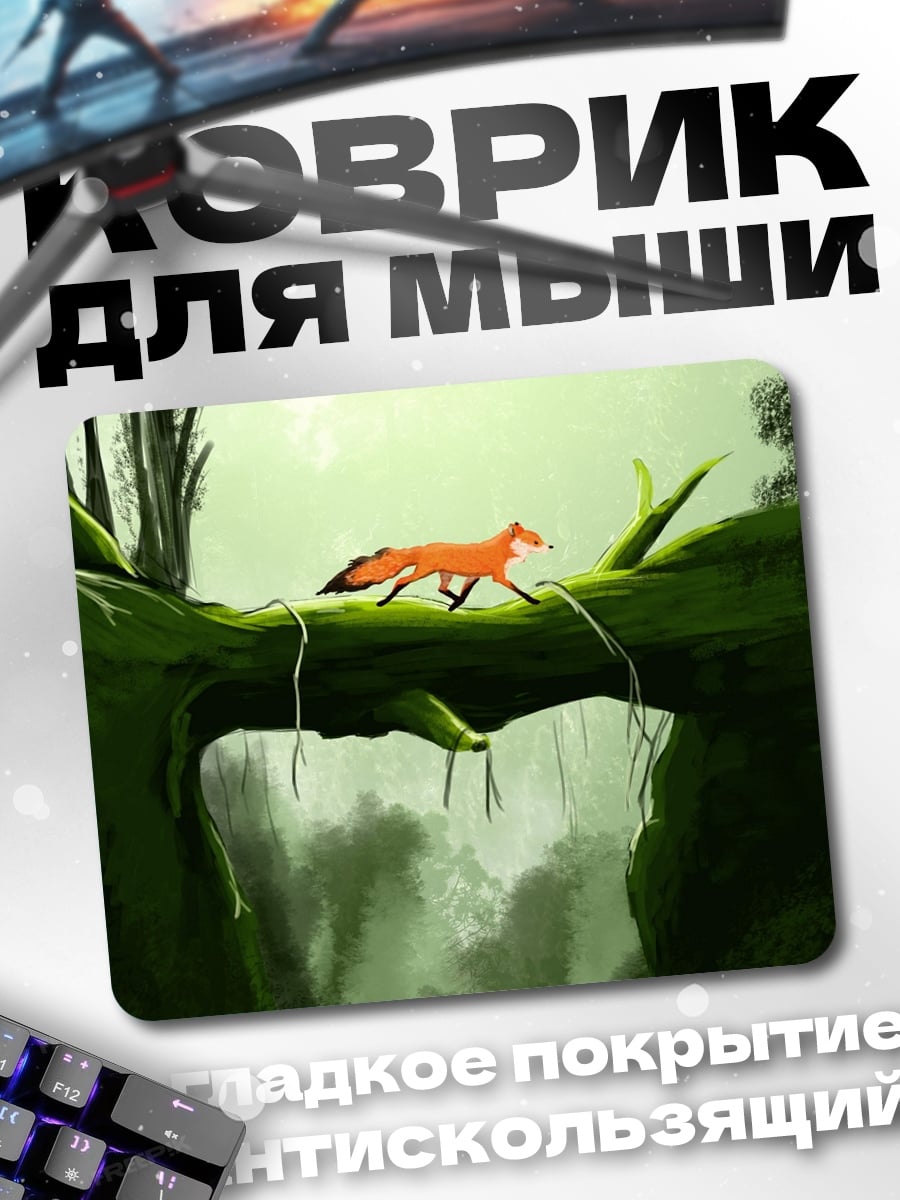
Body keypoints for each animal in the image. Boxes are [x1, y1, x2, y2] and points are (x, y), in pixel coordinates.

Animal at [317, 522, 553, 611]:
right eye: (535, 542)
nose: (551, 546)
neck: (501, 550)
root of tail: (423, 547)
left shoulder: (474, 577)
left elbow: (464, 595)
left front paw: (456, 605)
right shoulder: (499, 577)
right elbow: (519, 591)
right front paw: (534, 601)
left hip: (444, 574)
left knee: (441, 589)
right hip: (423, 572)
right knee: (401, 581)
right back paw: (384, 602)